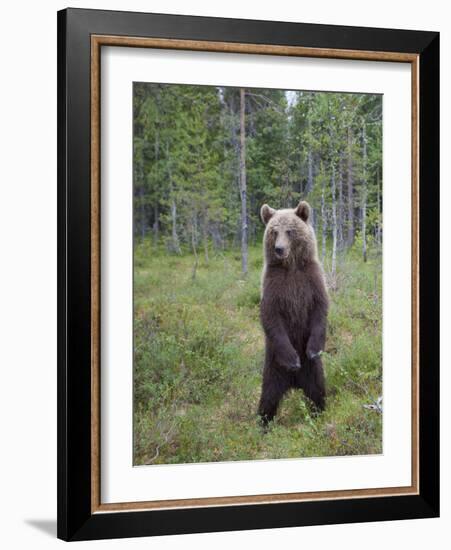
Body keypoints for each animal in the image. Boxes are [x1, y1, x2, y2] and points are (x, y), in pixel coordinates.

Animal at [258, 202, 328, 426]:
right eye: (274, 231)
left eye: (289, 230)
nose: (279, 249)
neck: (291, 267)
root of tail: (294, 383)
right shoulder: (273, 284)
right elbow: (271, 316)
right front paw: (293, 359)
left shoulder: (311, 279)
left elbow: (320, 309)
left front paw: (313, 349)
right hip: (273, 367)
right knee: (268, 398)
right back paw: (263, 424)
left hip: (313, 371)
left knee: (317, 392)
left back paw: (319, 415)